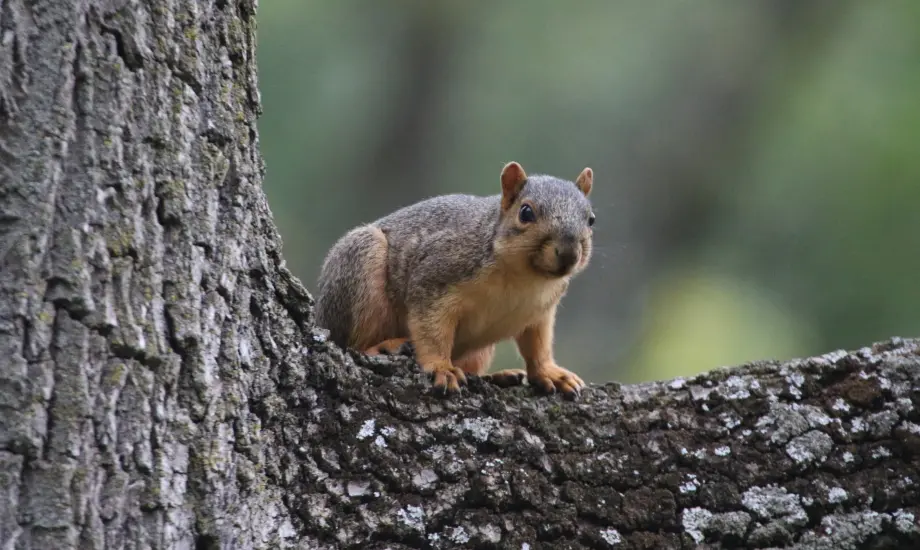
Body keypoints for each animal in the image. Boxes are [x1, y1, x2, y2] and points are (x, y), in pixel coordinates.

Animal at [315, 161, 595, 395]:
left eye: (591, 219)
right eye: (526, 213)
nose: (569, 253)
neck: (523, 277)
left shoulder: (540, 313)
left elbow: (538, 346)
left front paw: (551, 373)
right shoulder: (436, 278)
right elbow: (432, 331)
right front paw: (441, 368)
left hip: (480, 352)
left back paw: (499, 376)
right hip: (360, 268)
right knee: (353, 344)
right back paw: (384, 347)